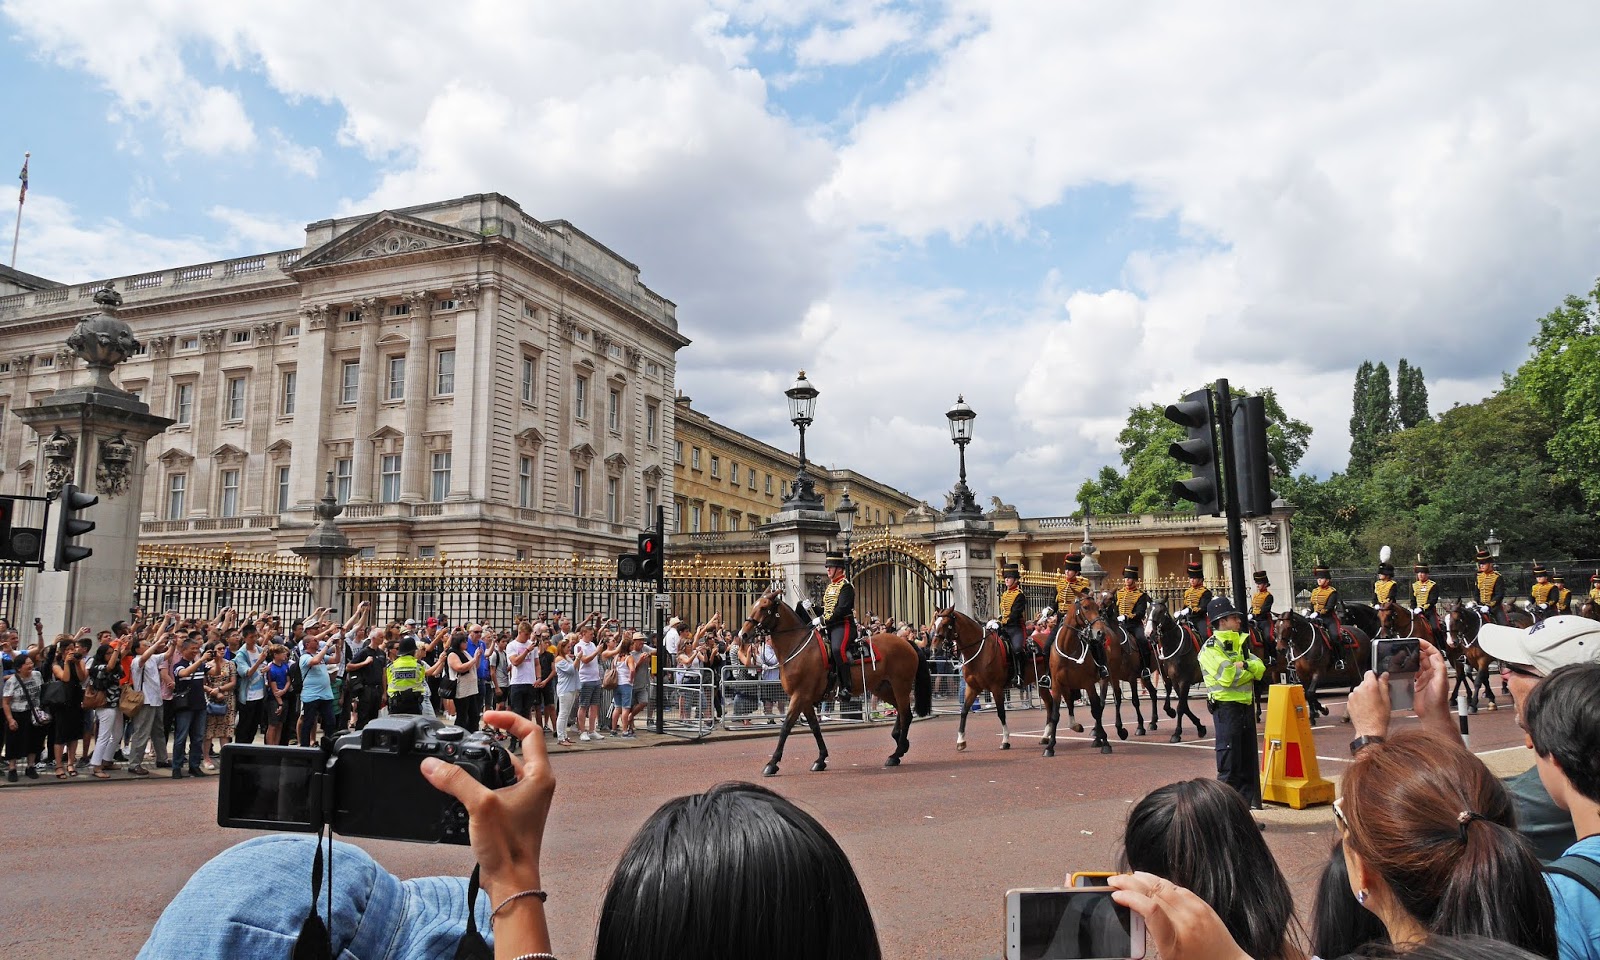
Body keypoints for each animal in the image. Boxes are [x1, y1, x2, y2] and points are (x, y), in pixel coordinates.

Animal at [739, 588, 934, 777]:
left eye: (764, 607)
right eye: (754, 605)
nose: (743, 635)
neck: (796, 647)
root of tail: (906, 642)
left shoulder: (800, 696)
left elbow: (786, 727)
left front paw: (772, 764)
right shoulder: (805, 699)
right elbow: (815, 727)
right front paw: (820, 759)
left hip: (900, 685)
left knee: (906, 714)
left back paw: (896, 753)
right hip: (883, 687)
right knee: (901, 711)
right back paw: (900, 742)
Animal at [934, 608, 1043, 748]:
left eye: (946, 624)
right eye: (935, 623)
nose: (935, 649)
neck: (981, 652)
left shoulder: (996, 688)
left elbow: (1001, 713)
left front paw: (1005, 740)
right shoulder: (972, 688)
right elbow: (964, 711)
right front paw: (961, 740)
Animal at [1036, 595, 1113, 755]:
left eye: (1098, 609)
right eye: (1085, 607)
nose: (1100, 633)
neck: (1068, 648)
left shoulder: (1088, 684)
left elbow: (1096, 710)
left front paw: (1105, 742)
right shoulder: (1057, 685)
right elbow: (1055, 715)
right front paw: (1050, 747)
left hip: (1102, 680)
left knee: (1100, 705)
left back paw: (1098, 735)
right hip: (1066, 685)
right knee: (1070, 702)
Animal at [1145, 601, 1203, 742]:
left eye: (1161, 612)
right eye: (1147, 611)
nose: (1149, 633)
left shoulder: (1184, 681)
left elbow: (1181, 706)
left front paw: (1177, 733)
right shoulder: (1175, 680)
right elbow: (1183, 705)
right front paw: (1200, 726)